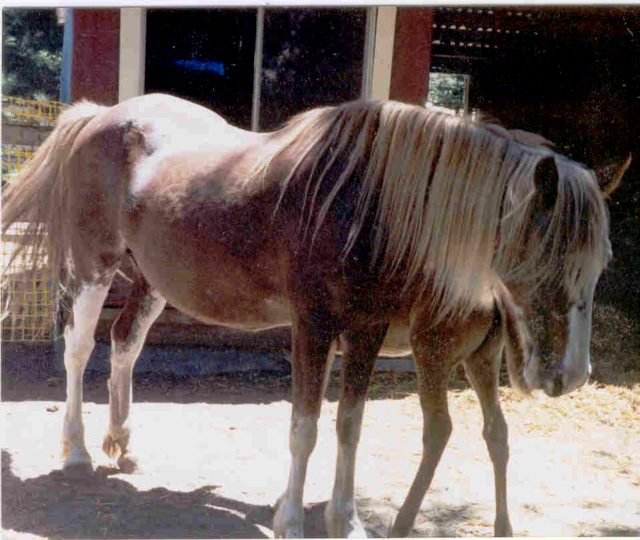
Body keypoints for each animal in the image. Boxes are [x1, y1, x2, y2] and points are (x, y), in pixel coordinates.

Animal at [1, 94, 620, 536]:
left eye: (602, 262)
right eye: (548, 257)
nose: (571, 378)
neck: (370, 202)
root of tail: (101, 115)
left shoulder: (365, 329)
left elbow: (349, 425)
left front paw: (345, 521)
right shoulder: (314, 327)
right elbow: (304, 427)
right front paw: (293, 520)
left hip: (154, 280)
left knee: (126, 344)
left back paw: (124, 445)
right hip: (94, 265)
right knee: (80, 350)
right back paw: (77, 453)